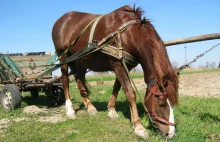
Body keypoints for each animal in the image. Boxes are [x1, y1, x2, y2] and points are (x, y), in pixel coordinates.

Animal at [52, 5, 179, 139]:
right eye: (161, 103)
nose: (171, 133)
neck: (128, 34)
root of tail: (61, 19)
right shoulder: (117, 64)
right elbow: (130, 93)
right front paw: (139, 127)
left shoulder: (125, 65)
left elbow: (117, 87)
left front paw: (111, 110)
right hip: (63, 57)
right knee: (65, 81)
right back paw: (70, 110)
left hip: (80, 60)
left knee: (79, 79)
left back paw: (90, 107)